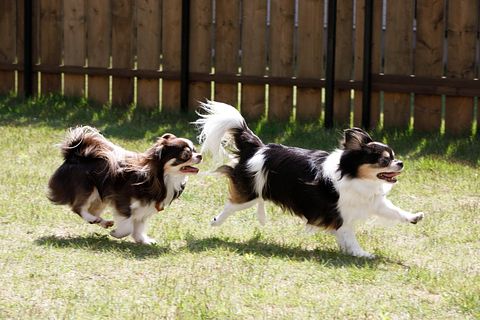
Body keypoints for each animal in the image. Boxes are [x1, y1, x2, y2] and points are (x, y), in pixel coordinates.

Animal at [47, 126, 201, 244]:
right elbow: (128, 227)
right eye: (186, 155)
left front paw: (143, 241)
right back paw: (94, 219)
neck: (162, 178)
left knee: (91, 211)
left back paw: (102, 221)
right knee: (78, 208)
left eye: (195, 150)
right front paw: (117, 234)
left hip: (100, 198)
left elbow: (138, 228)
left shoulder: (143, 210)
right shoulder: (123, 201)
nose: (200, 155)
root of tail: (73, 155)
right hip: (88, 189)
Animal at [195, 102, 424, 258]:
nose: (401, 163)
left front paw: (414, 217)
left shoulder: (372, 202)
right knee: (231, 205)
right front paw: (361, 254)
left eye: (394, 156)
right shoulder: (342, 215)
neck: (353, 175)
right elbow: (350, 236)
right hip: (247, 193)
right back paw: (215, 221)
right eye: (385, 160)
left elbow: (395, 212)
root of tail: (257, 148)